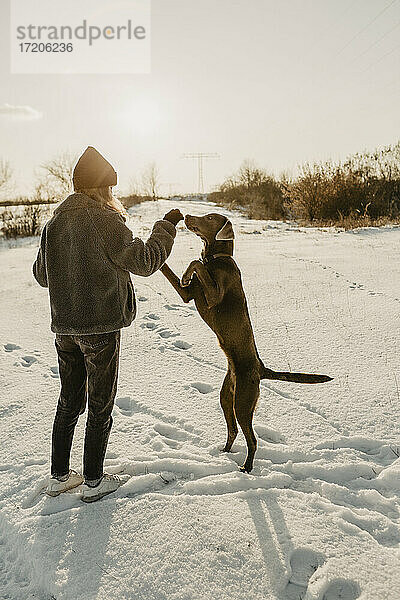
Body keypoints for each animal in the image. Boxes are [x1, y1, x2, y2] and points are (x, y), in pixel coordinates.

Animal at [159, 214, 332, 474]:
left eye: (210, 217)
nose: (187, 216)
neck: (217, 259)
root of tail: (261, 369)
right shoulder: (187, 294)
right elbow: (173, 269)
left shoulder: (212, 296)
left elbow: (196, 263)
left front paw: (188, 271)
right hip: (226, 398)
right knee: (233, 430)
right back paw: (224, 453)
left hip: (243, 402)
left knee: (252, 438)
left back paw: (247, 467)